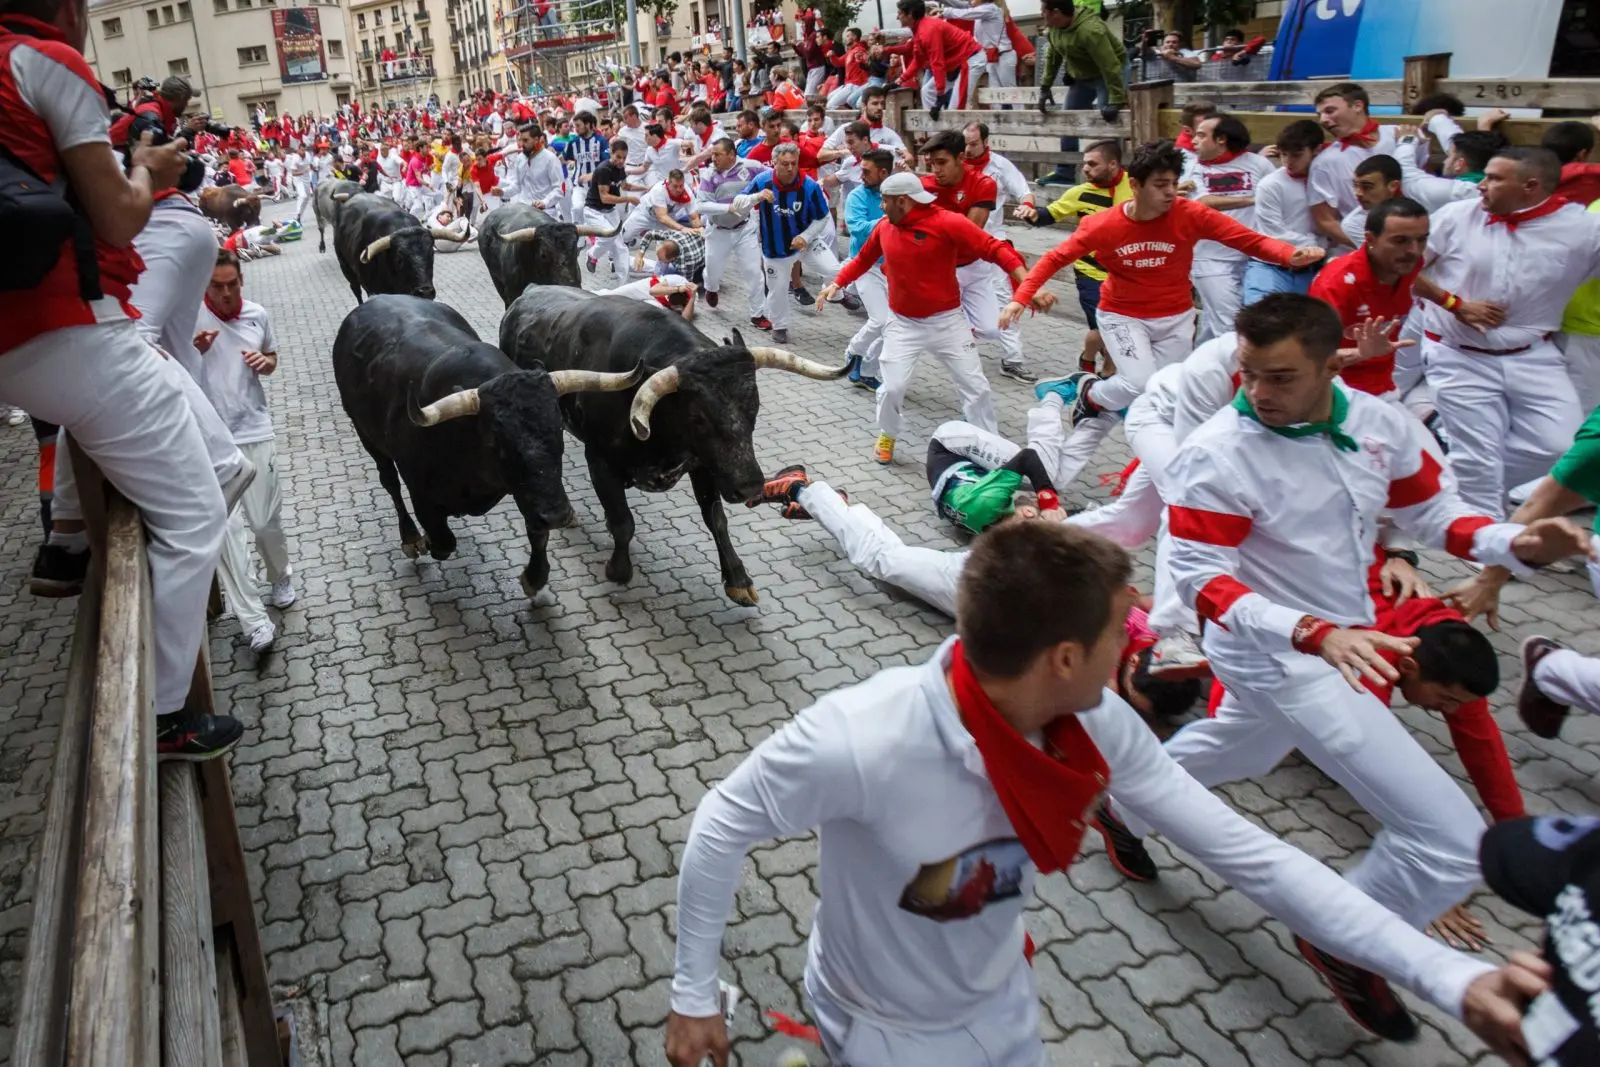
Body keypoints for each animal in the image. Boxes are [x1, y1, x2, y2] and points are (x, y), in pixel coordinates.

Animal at [332, 295, 643, 598]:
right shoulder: (419, 488)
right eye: (496, 442)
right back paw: (410, 537)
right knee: (389, 482)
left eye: (558, 428)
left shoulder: (527, 488)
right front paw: (428, 539)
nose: (557, 515)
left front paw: (534, 577)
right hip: (365, 433)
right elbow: (443, 541)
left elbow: (536, 531)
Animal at [499, 283, 851, 604]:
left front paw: (738, 579)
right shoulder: (599, 460)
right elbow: (623, 522)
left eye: (755, 406)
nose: (750, 486)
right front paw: (618, 569)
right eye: (698, 417)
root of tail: (527, 293)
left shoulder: (704, 464)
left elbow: (716, 519)